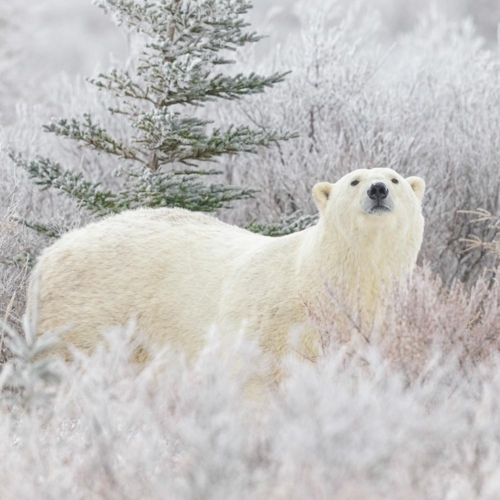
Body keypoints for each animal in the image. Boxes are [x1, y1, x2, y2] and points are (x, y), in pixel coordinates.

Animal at [27, 167, 424, 378]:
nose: (377, 189)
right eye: (354, 181)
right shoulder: (271, 327)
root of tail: (48, 255)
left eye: (396, 179)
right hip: (88, 314)